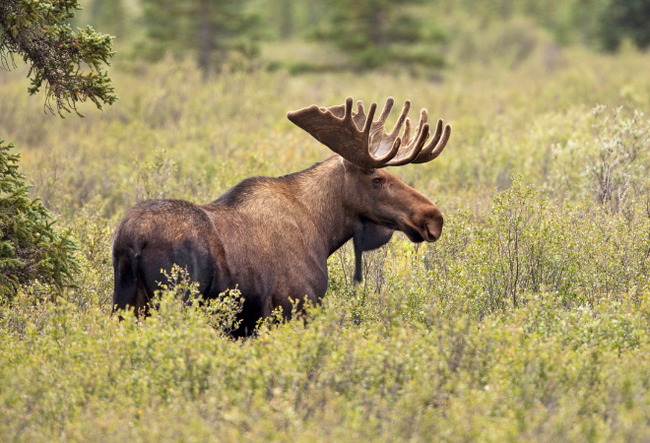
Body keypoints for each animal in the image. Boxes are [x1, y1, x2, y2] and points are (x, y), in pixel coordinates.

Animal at [111, 95, 450, 334]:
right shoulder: (294, 307)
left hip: (124, 303)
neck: (323, 231)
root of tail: (131, 241)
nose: (433, 217)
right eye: (377, 179)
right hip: (174, 299)